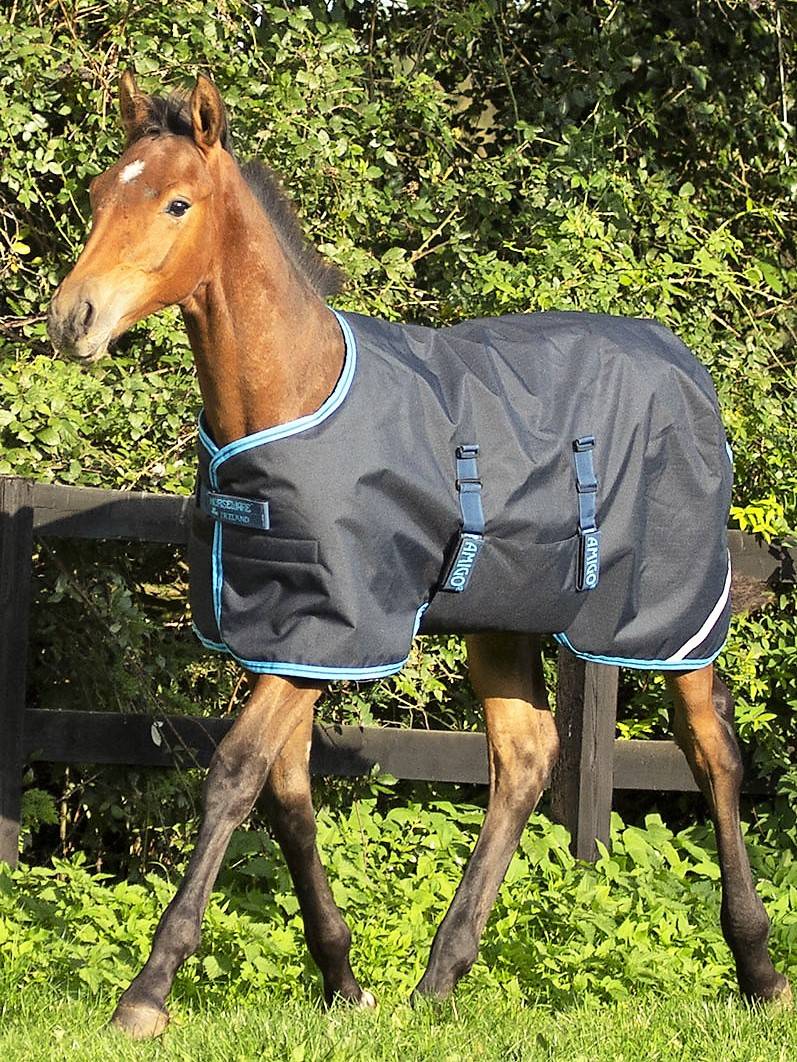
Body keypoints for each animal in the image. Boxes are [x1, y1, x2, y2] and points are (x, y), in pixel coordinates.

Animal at [46, 72, 791, 1038]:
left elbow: (234, 775)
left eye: (176, 202)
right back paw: (440, 976)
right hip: (502, 618)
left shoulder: (334, 629)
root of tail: (684, 366)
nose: (74, 319)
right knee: (525, 757)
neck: (294, 393)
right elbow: (286, 792)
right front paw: (343, 980)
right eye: (102, 193)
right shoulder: (288, 632)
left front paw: (146, 994)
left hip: (670, 617)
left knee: (710, 752)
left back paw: (758, 970)